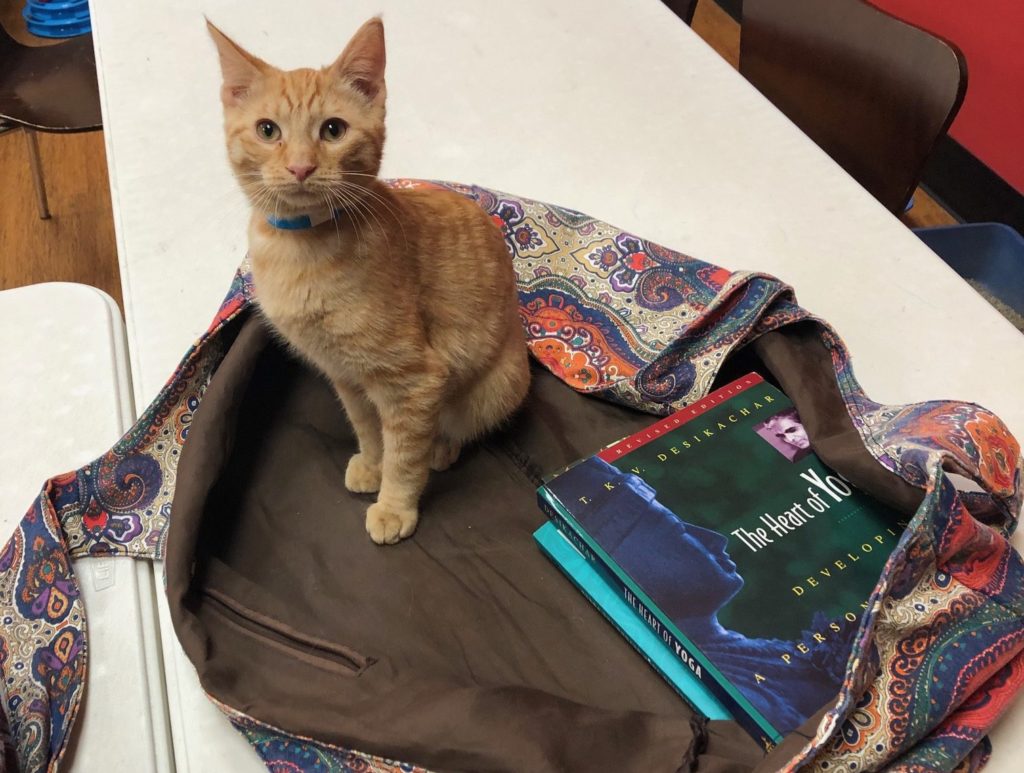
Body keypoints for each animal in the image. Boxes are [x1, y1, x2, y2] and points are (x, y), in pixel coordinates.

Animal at [206, 16, 528, 544]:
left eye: (333, 130)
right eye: (267, 130)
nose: (300, 166)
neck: (300, 248)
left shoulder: (414, 380)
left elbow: (405, 452)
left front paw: (395, 505)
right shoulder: (346, 376)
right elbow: (368, 428)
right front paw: (373, 465)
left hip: (497, 387)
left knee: (456, 427)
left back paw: (442, 447)